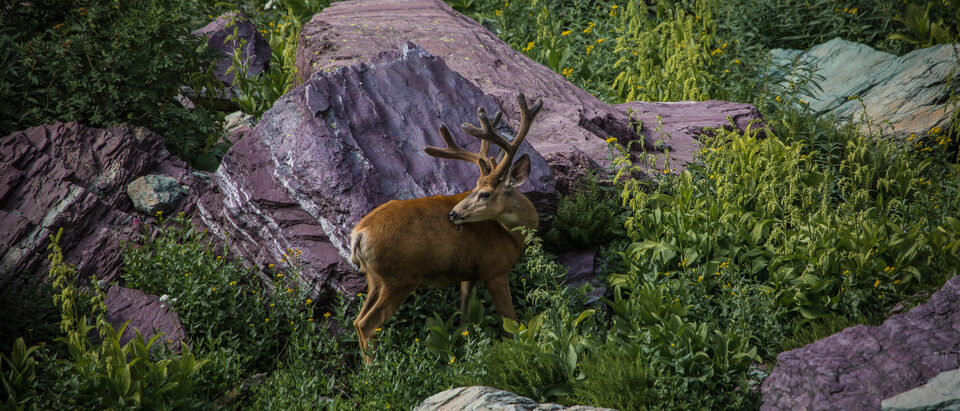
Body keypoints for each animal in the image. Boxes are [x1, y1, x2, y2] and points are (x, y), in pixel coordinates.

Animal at [349, 92, 543, 362]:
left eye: (483, 192)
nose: (453, 213)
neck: (511, 235)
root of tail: (359, 234)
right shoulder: (494, 269)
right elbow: (512, 321)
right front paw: (523, 350)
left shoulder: (469, 272)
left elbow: (464, 317)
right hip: (400, 277)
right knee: (368, 324)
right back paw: (374, 368)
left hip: (374, 278)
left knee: (357, 321)